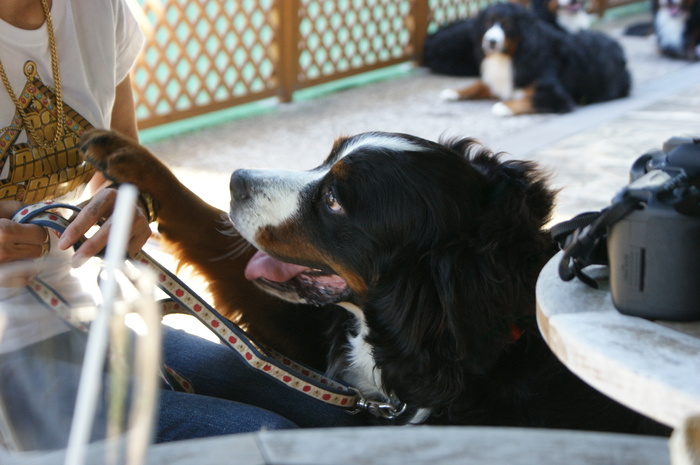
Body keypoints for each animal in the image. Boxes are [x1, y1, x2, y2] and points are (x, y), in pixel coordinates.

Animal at [440, 2, 632, 115]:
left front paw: (503, 106)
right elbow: (478, 84)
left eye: (508, 25)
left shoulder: (557, 97)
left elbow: (531, 99)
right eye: (488, 23)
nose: (491, 42)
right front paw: (453, 92)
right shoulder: (500, 81)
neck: (514, 55)